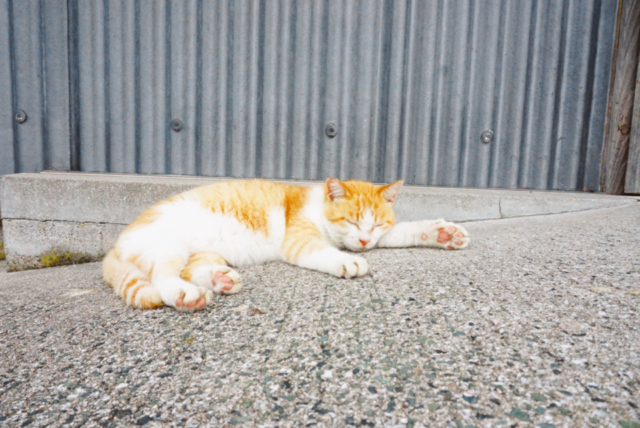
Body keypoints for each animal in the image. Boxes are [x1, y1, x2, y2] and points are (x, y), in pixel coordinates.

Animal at [102, 178, 468, 310]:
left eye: (376, 223)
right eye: (351, 221)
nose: (364, 239)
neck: (318, 207)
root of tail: (116, 244)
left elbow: (403, 231)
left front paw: (442, 234)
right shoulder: (300, 240)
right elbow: (325, 252)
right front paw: (347, 261)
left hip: (202, 252)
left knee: (193, 270)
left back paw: (220, 279)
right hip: (168, 246)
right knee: (165, 277)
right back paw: (186, 295)